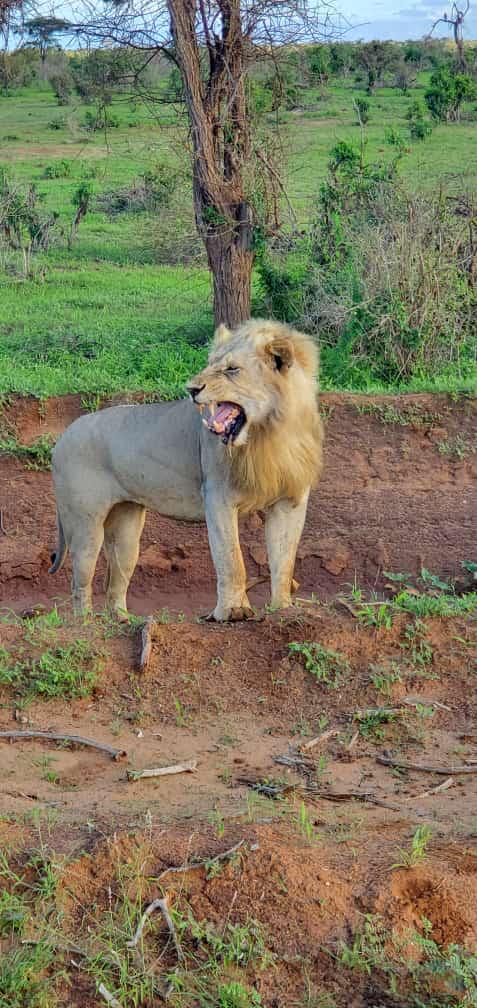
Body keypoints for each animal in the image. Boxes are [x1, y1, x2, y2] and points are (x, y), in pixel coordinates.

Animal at [49, 318, 324, 621]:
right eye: (210, 363)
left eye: (232, 369)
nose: (191, 389)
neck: (271, 433)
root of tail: (62, 437)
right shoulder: (218, 496)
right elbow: (231, 559)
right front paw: (233, 612)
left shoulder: (291, 501)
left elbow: (284, 560)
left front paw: (282, 609)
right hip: (84, 521)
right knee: (80, 579)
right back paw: (86, 622)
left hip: (126, 524)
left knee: (116, 577)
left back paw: (122, 619)